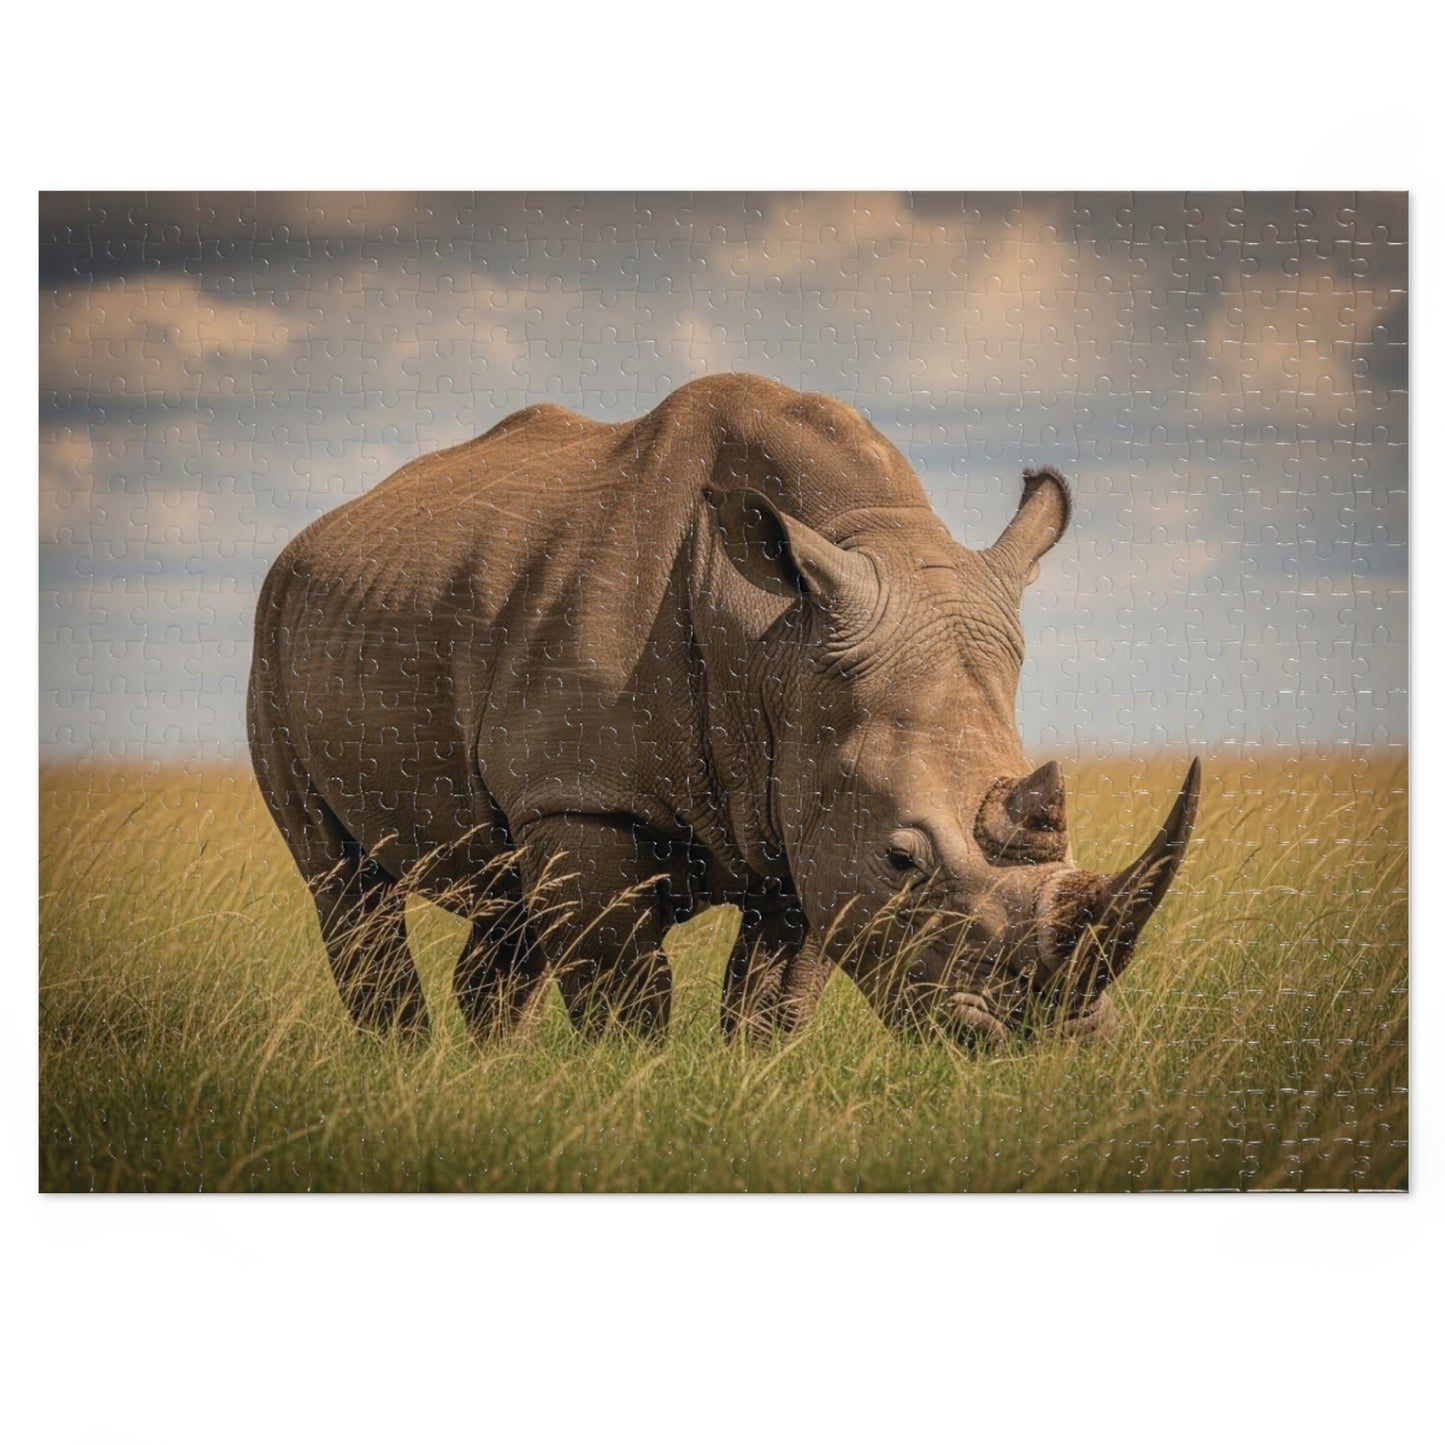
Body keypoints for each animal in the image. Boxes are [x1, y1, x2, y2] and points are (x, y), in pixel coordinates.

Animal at [247, 373, 1198, 1046]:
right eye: (901, 860)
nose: (1056, 1038)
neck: (777, 643)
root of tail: (321, 532)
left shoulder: (805, 810)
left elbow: (773, 999)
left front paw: (751, 1084)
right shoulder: (586, 795)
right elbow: (624, 995)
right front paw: (628, 1087)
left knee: (506, 898)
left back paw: (487, 1073)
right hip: (274, 624)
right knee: (345, 888)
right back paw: (403, 1061)